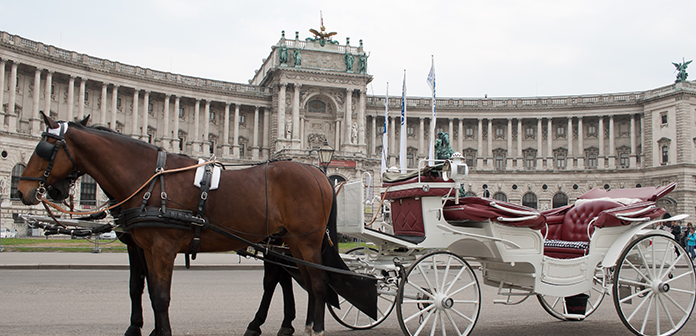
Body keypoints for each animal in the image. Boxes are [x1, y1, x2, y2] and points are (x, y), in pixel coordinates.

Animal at [18, 113, 338, 336]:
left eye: (44, 148)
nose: (22, 191)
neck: (149, 179)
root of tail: (319, 173)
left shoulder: (162, 248)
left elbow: (160, 296)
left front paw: (151, 330)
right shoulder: (142, 247)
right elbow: (141, 288)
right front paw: (141, 328)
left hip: (305, 240)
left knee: (316, 281)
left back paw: (314, 327)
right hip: (286, 241)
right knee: (292, 279)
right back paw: (289, 324)